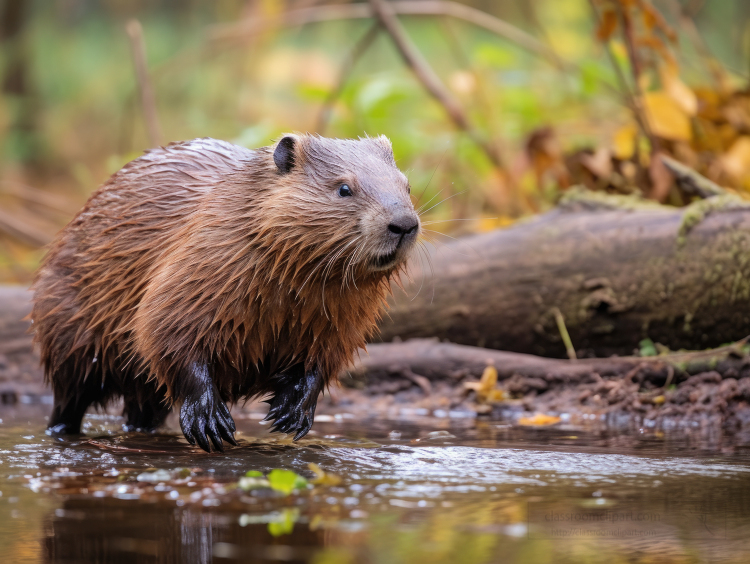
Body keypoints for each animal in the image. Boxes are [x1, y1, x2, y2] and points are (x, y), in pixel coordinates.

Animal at [30, 134, 424, 452]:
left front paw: (291, 413)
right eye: (344, 188)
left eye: (406, 186)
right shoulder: (196, 263)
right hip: (66, 329)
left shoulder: (345, 315)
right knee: (69, 400)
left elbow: (325, 358)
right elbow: (164, 329)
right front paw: (210, 422)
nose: (404, 224)